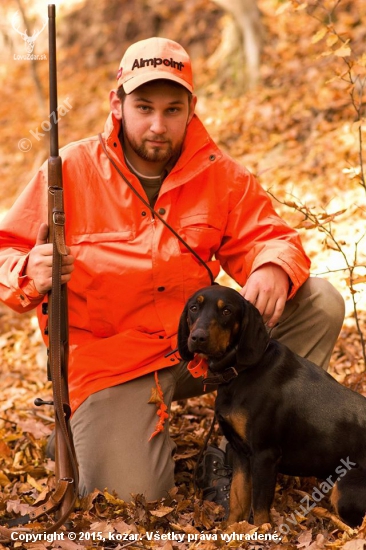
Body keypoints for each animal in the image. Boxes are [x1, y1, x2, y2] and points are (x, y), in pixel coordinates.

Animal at [179, 286, 366, 528]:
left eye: (227, 311)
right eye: (194, 307)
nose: (198, 337)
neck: (241, 370)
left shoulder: (264, 455)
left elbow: (259, 509)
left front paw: (262, 533)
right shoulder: (240, 452)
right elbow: (238, 499)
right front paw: (232, 531)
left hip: (345, 487)